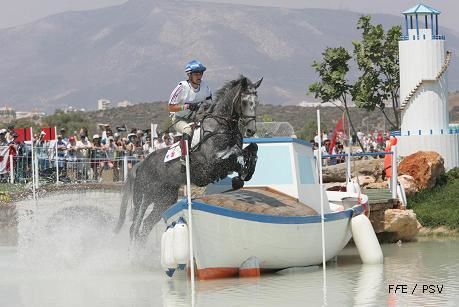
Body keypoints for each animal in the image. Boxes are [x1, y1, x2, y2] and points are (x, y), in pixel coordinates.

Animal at [115, 75, 262, 243]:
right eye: (244, 102)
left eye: (256, 102)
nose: (251, 130)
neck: (221, 125)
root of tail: (140, 164)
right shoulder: (211, 164)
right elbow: (235, 157)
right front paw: (242, 174)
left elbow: (250, 149)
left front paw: (245, 174)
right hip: (143, 197)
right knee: (135, 226)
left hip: (163, 199)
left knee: (145, 227)